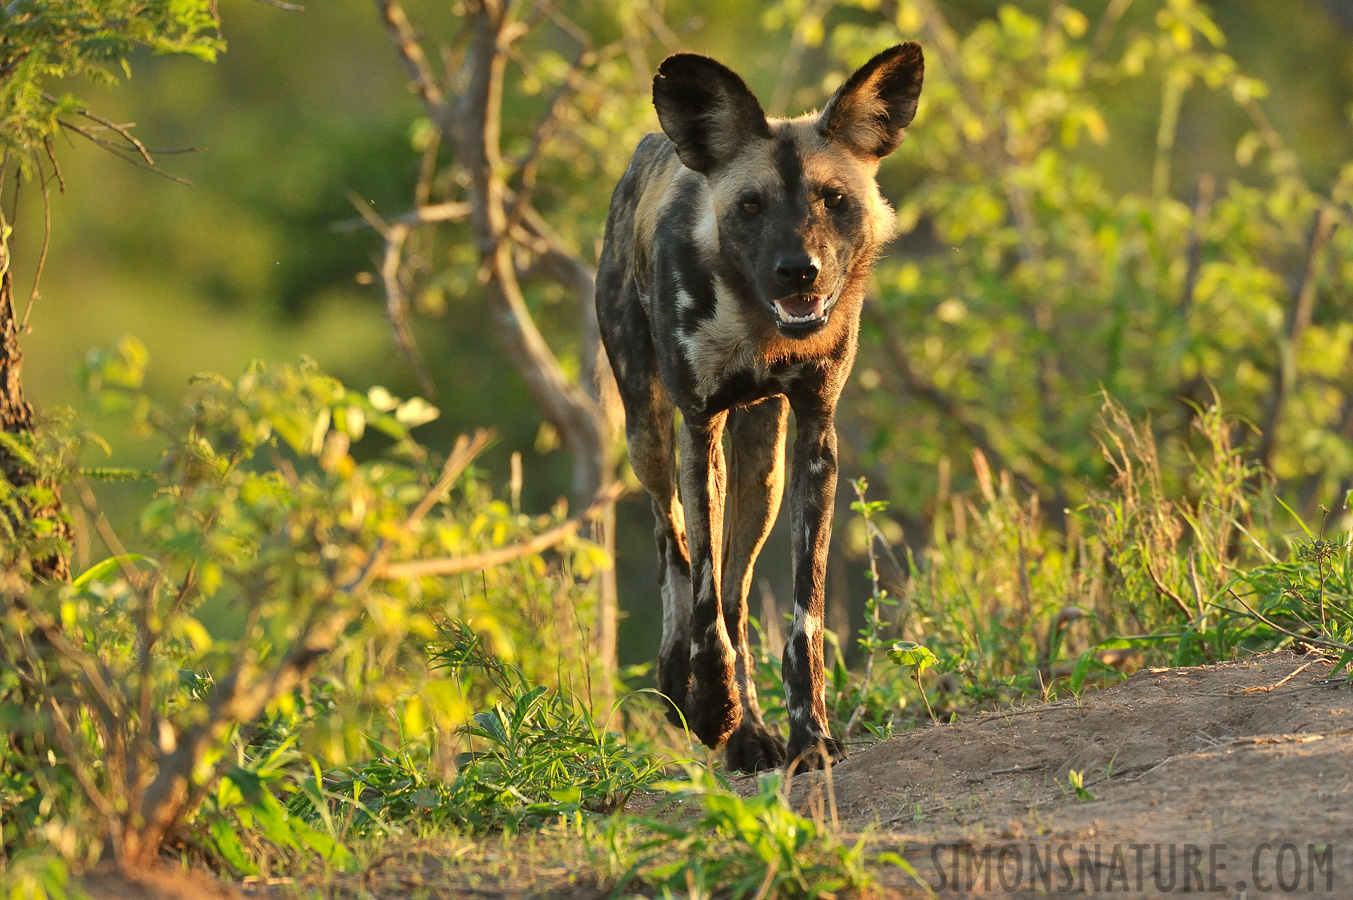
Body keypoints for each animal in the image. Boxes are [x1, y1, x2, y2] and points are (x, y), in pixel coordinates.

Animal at [598, 43, 925, 774]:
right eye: (750, 206)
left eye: (835, 200)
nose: (797, 270)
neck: (759, 326)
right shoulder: (699, 428)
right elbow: (702, 594)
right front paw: (710, 709)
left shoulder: (814, 438)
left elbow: (801, 615)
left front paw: (808, 735)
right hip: (649, 433)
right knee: (674, 544)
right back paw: (685, 689)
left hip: (763, 471)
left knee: (737, 589)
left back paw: (748, 730)